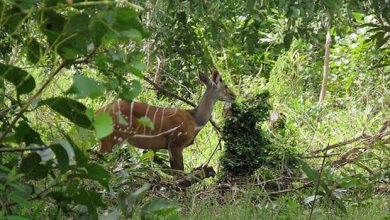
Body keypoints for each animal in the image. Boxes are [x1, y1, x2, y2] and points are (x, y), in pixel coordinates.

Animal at [96, 69, 236, 171]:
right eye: (225, 85)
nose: (234, 96)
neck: (195, 120)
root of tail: (100, 111)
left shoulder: (170, 146)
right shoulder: (176, 142)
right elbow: (180, 172)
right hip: (113, 136)